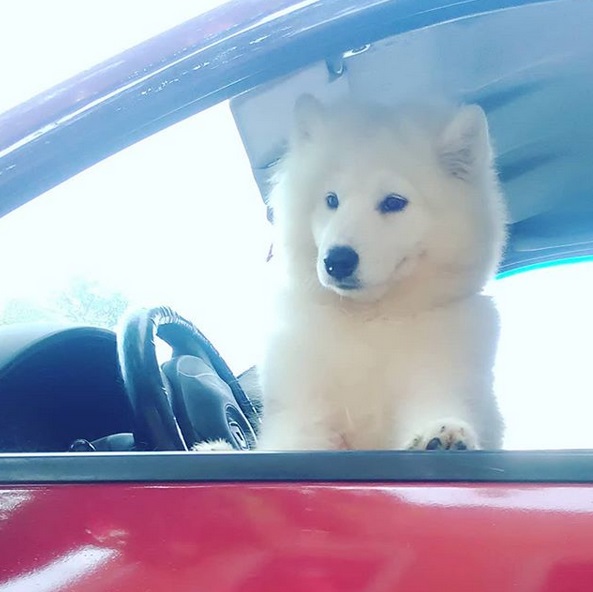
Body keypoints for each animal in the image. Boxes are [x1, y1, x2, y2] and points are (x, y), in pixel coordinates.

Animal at [256, 95, 508, 450]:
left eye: (393, 202)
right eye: (331, 199)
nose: (337, 260)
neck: (372, 321)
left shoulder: (442, 375)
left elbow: (437, 404)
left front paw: (440, 433)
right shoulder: (302, 408)